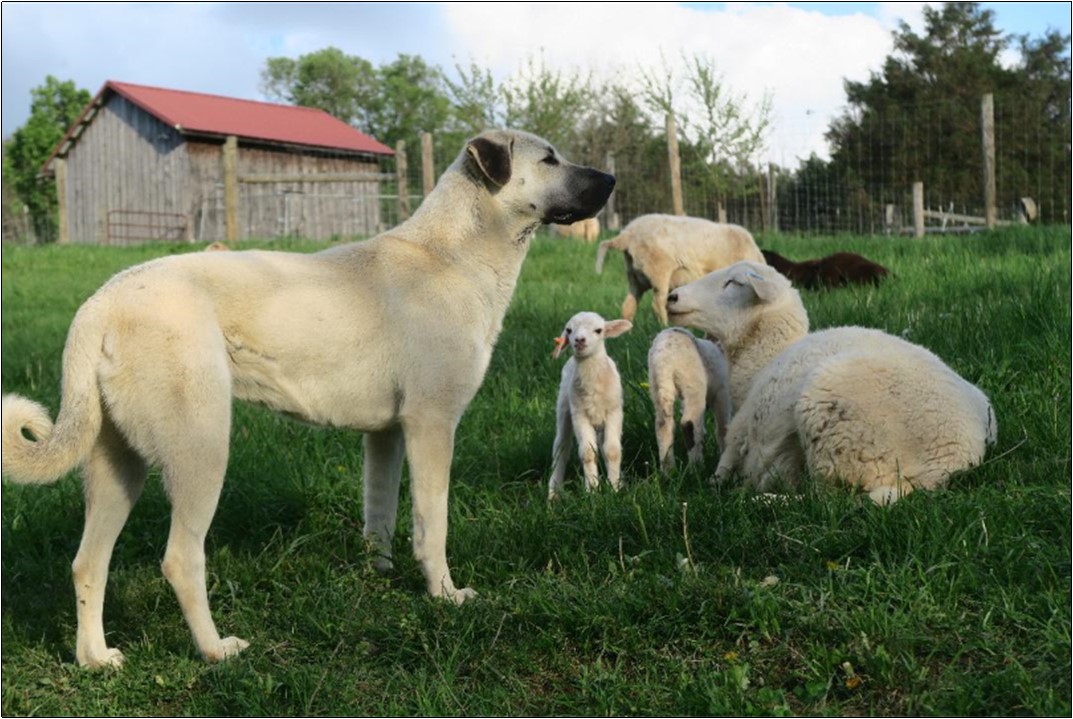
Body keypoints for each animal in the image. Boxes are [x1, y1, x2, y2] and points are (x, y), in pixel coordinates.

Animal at [0, 129, 618, 669]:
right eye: (550, 159)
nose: (612, 179)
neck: (453, 254)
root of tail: (98, 304)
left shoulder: (386, 437)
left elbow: (380, 516)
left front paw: (379, 577)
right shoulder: (432, 426)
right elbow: (431, 523)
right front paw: (444, 595)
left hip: (116, 467)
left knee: (88, 563)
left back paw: (96, 659)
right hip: (201, 450)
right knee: (179, 559)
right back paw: (215, 651)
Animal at [549, 309, 630, 502]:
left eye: (599, 330)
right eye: (569, 330)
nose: (579, 340)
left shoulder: (614, 412)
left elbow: (612, 450)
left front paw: (615, 488)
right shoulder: (580, 415)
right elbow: (587, 453)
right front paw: (592, 491)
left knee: (603, 445)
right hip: (564, 406)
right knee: (561, 446)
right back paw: (553, 492)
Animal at [596, 215, 763, 326]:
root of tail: (627, 234)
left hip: (635, 276)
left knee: (628, 305)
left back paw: (628, 331)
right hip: (658, 270)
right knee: (658, 304)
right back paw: (664, 326)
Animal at [643, 330, 738, 476]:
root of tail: (664, 356)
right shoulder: (722, 393)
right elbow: (722, 428)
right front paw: (723, 453)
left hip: (658, 385)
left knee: (663, 425)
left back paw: (669, 471)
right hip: (693, 383)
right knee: (689, 423)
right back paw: (696, 468)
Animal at [660, 261, 995, 504]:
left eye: (734, 283)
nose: (671, 297)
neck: (760, 362)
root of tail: (950, 458)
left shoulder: (741, 433)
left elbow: (723, 466)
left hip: (834, 430)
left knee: (824, 501)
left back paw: (764, 501)